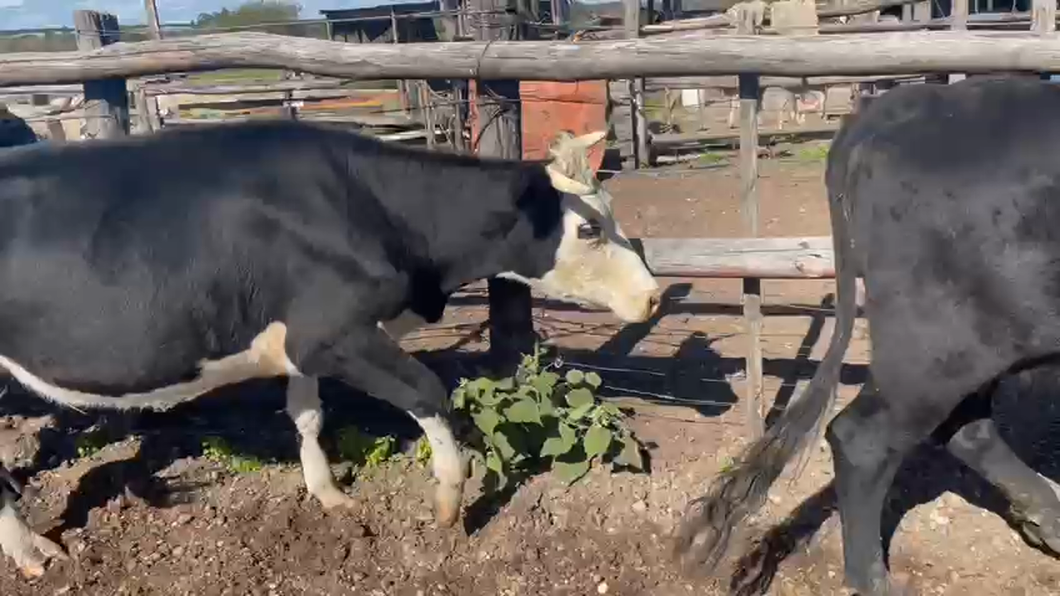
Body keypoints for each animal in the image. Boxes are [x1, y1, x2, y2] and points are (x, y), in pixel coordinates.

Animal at [0, 120, 657, 576]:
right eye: (588, 228)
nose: (652, 297)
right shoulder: (336, 332)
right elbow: (428, 392)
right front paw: (449, 501)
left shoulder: (307, 344)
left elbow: (308, 413)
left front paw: (329, 494)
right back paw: (31, 554)